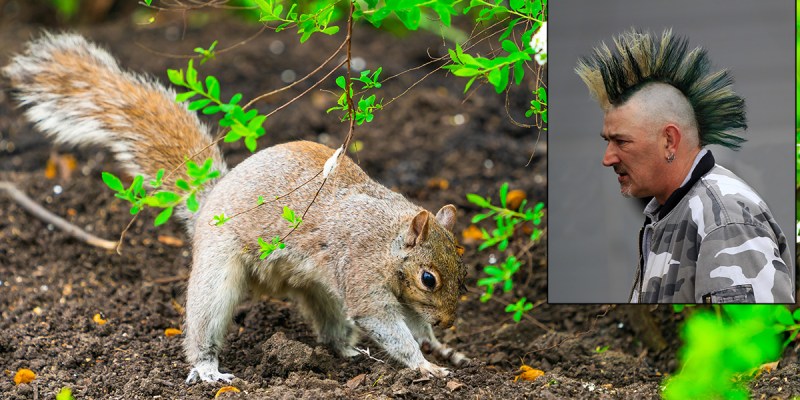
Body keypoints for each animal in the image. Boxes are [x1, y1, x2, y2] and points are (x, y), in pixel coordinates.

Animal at [4, 33, 469, 383]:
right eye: (428, 278)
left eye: (463, 271)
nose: (449, 320)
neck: (389, 237)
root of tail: (209, 202)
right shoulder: (361, 272)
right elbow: (387, 325)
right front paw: (425, 364)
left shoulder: (397, 297)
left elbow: (412, 324)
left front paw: (436, 345)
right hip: (218, 268)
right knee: (205, 321)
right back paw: (208, 368)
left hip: (319, 290)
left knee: (330, 326)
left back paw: (349, 351)